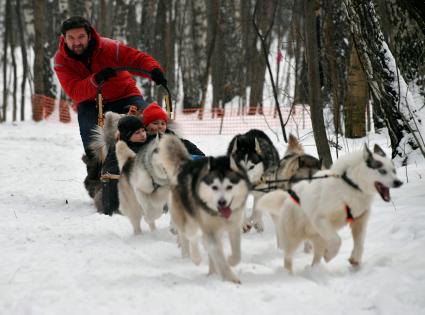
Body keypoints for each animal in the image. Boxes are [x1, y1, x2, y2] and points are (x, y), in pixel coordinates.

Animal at [161, 135, 250, 284]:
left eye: (229, 186)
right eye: (214, 187)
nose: (222, 202)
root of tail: (185, 164)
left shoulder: (233, 227)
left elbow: (237, 254)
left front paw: (231, 261)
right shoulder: (209, 230)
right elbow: (217, 252)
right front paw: (230, 277)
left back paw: (212, 272)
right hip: (189, 221)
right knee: (191, 237)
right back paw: (196, 257)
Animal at [256, 146, 402, 274]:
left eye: (394, 170)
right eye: (382, 171)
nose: (399, 182)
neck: (350, 185)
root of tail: (288, 198)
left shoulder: (359, 221)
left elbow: (359, 243)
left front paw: (355, 259)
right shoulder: (320, 219)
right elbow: (337, 240)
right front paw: (330, 255)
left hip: (318, 239)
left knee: (315, 257)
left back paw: (315, 270)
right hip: (293, 239)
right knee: (288, 258)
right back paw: (289, 274)